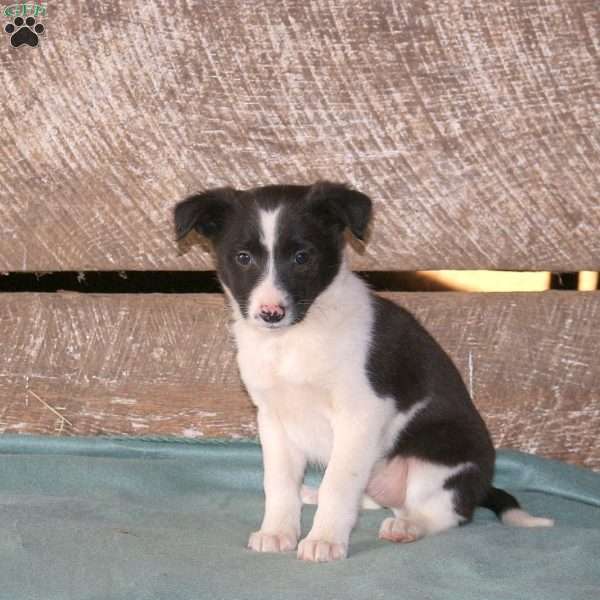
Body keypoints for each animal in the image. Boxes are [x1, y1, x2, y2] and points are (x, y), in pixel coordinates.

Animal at [173, 182, 552, 564]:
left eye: (302, 257)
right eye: (243, 258)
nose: (271, 313)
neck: (293, 339)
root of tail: (481, 485)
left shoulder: (361, 415)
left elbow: (339, 484)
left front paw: (324, 540)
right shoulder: (273, 419)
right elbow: (279, 484)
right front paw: (277, 532)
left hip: (437, 460)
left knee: (445, 513)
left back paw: (407, 527)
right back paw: (312, 495)